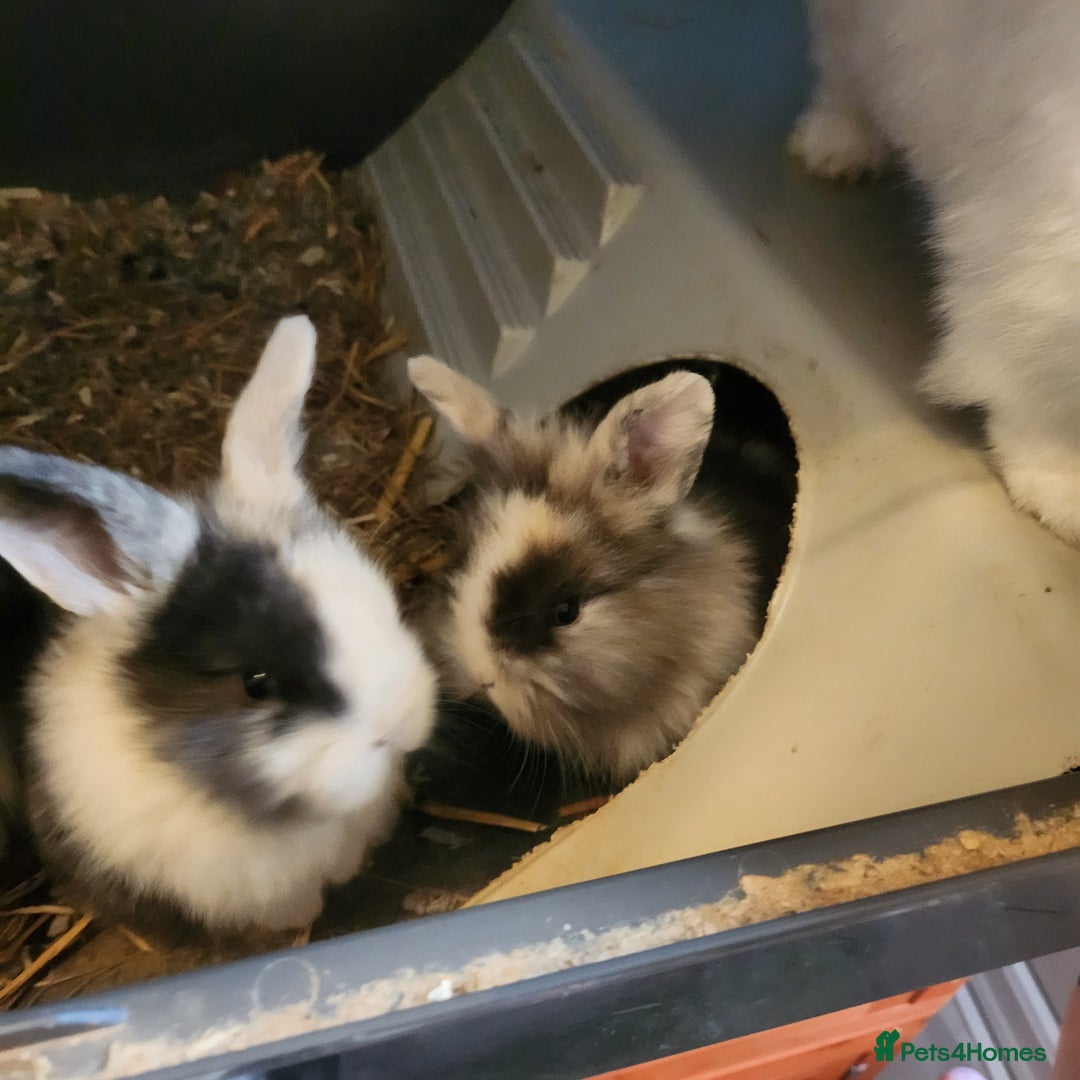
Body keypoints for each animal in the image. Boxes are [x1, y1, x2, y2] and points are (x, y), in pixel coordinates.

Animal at [788, 0, 1080, 546]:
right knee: (839, 70)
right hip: (844, 28)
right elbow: (1038, 404)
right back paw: (839, 150)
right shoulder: (1032, 281)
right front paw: (1064, 496)